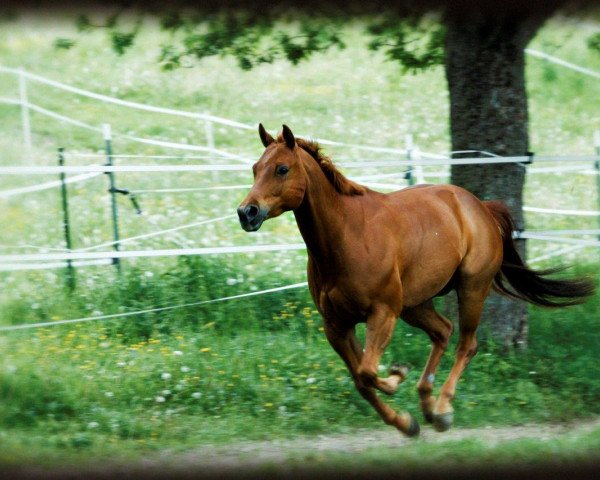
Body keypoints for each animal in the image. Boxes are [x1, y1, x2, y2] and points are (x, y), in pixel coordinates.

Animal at [236, 123, 596, 436]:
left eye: (282, 169)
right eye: (255, 168)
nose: (247, 213)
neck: (347, 236)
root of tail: (480, 207)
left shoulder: (383, 314)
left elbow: (368, 372)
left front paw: (397, 375)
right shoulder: (336, 325)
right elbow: (361, 381)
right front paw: (406, 423)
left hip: (471, 288)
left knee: (466, 344)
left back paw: (443, 410)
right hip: (416, 304)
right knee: (443, 332)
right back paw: (427, 403)